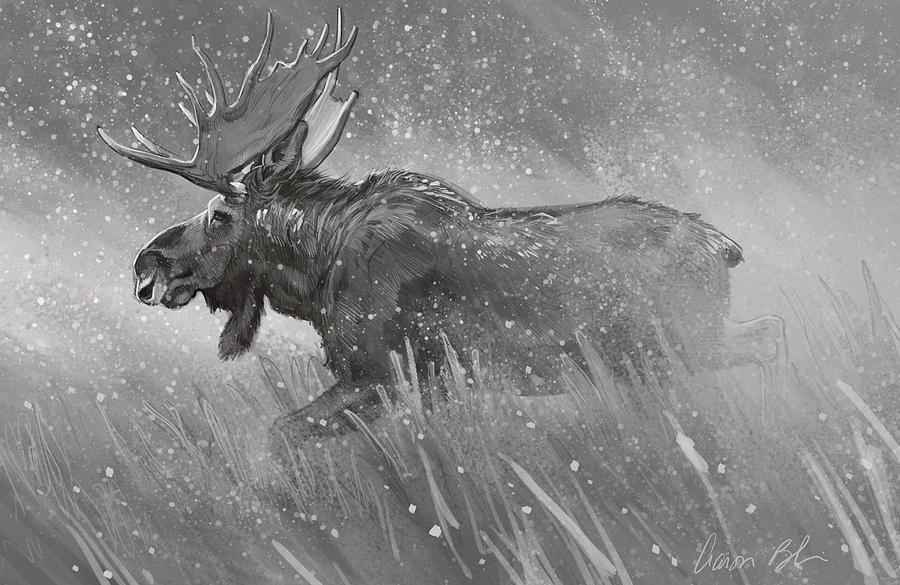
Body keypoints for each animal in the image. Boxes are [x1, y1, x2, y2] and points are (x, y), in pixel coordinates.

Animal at [98, 10, 786, 446]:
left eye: (220, 215)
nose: (144, 266)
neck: (316, 272)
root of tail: (726, 247)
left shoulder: (383, 373)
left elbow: (278, 436)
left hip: (673, 343)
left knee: (767, 340)